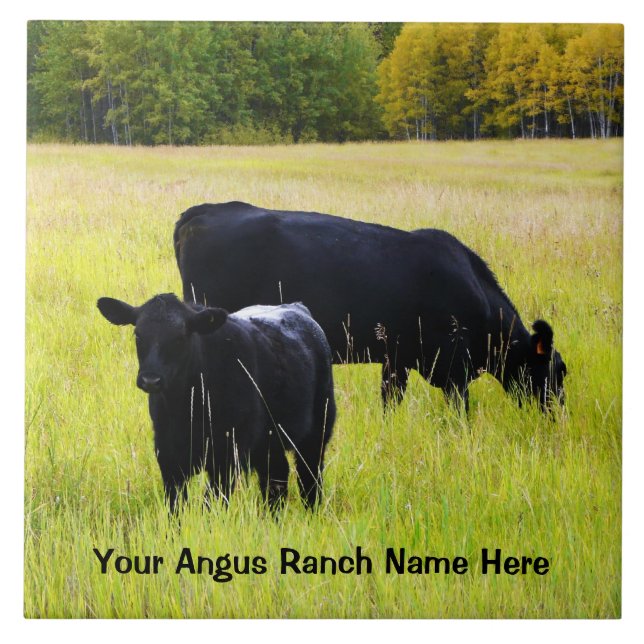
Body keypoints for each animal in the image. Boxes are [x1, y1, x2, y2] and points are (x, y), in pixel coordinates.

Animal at [97, 294, 336, 513]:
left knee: (309, 476)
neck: (186, 410)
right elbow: (175, 507)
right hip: (269, 442)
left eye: (181, 337)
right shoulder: (168, 455)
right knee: (276, 479)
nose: (150, 379)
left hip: (318, 429)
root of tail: (296, 307)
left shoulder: (227, 458)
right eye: (138, 334)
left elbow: (210, 505)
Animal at [173, 202, 567, 413]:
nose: (558, 416)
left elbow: (390, 400)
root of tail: (206, 211)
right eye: (558, 371)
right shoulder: (453, 367)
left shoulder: (398, 359)